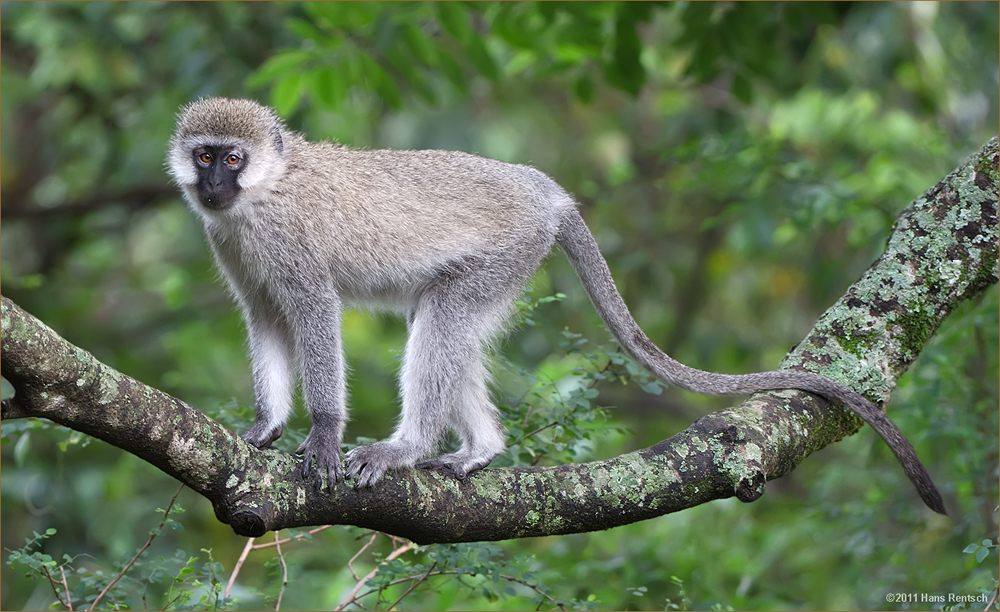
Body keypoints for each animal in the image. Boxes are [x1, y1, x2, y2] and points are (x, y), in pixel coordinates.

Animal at [166, 99, 944, 512]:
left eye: (232, 158)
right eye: (205, 155)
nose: (213, 185)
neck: (263, 191)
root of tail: (541, 186)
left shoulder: (286, 241)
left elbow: (314, 313)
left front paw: (323, 435)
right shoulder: (231, 243)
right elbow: (266, 318)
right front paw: (266, 427)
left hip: (511, 245)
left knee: (443, 317)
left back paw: (409, 447)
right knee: (444, 321)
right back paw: (481, 450)